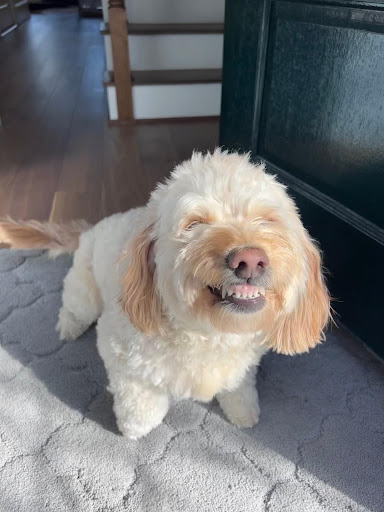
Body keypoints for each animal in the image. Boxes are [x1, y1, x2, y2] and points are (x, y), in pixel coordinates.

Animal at [0, 150, 330, 438]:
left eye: (266, 220)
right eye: (194, 224)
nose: (249, 259)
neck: (209, 331)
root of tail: (93, 227)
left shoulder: (243, 359)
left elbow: (240, 382)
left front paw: (243, 410)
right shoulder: (119, 349)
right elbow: (138, 399)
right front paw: (136, 427)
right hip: (84, 289)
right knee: (73, 306)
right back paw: (69, 327)